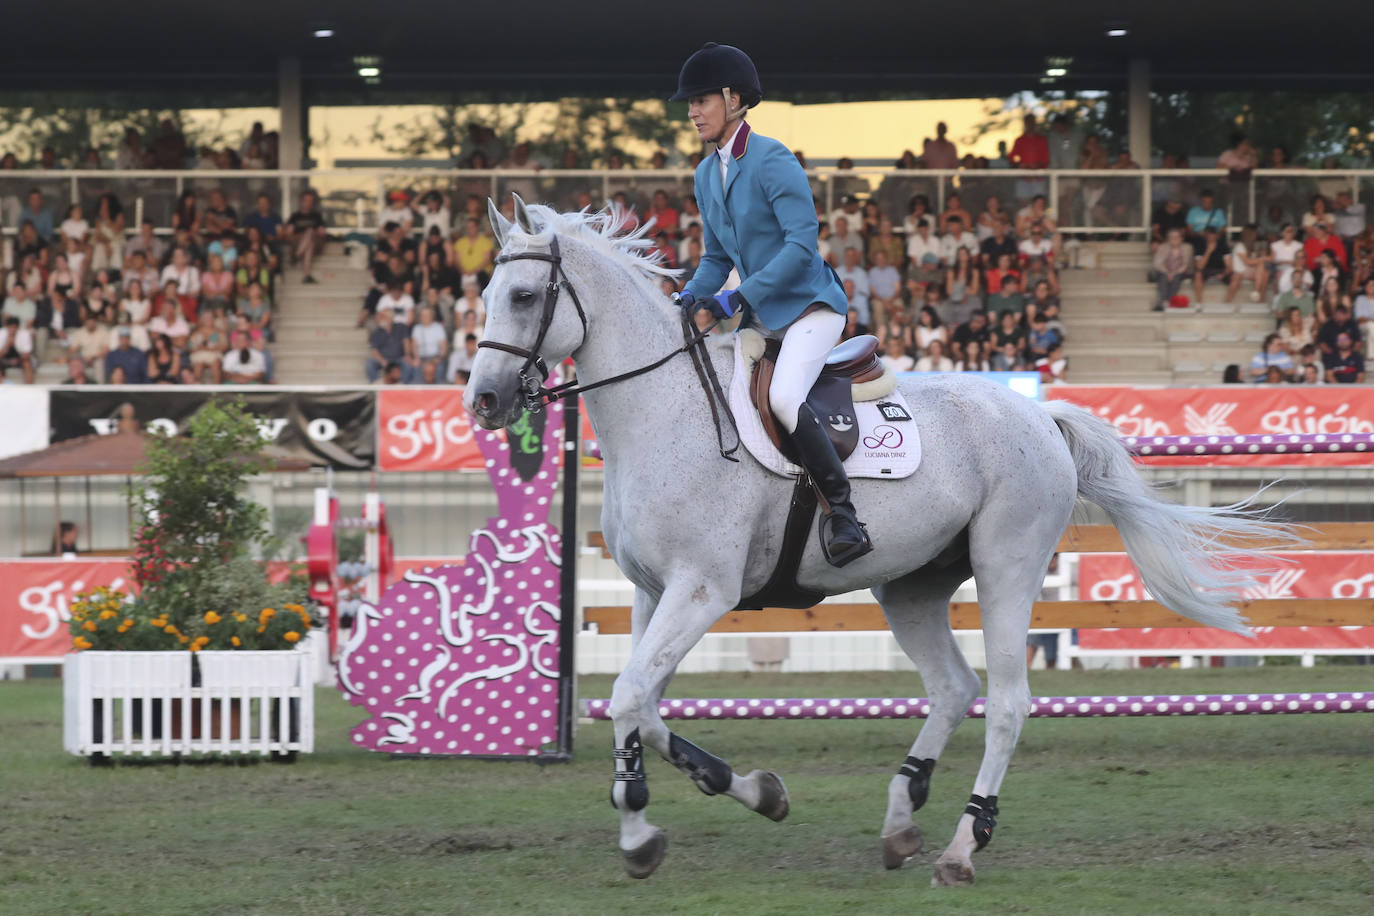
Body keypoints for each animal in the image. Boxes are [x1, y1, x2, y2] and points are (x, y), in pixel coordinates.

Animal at [467, 199, 1280, 889]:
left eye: (525, 297)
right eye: (486, 297)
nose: (484, 401)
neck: (664, 410)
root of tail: (1038, 415)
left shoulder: (702, 589)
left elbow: (632, 697)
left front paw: (639, 833)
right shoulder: (652, 592)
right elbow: (643, 707)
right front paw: (752, 792)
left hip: (1006, 566)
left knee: (1008, 702)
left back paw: (962, 845)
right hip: (910, 585)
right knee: (954, 687)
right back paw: (900, 817)